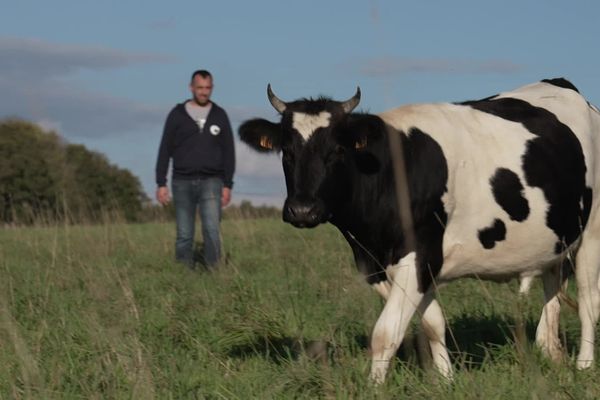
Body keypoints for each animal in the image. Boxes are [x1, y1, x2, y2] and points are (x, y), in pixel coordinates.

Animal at [238, 79, 600, 384]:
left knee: (588, 300)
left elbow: (385, 332)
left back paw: (583, 365)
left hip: (592, 234)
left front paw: (374, 387)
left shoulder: (420, 254)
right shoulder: (377, 262)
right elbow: (432, 322)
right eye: (287, 152)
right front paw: (446, 379)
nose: (302, 210)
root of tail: (562, 84)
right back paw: (550, 353)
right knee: (553, 287)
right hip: (557, 239)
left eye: (338, 151)